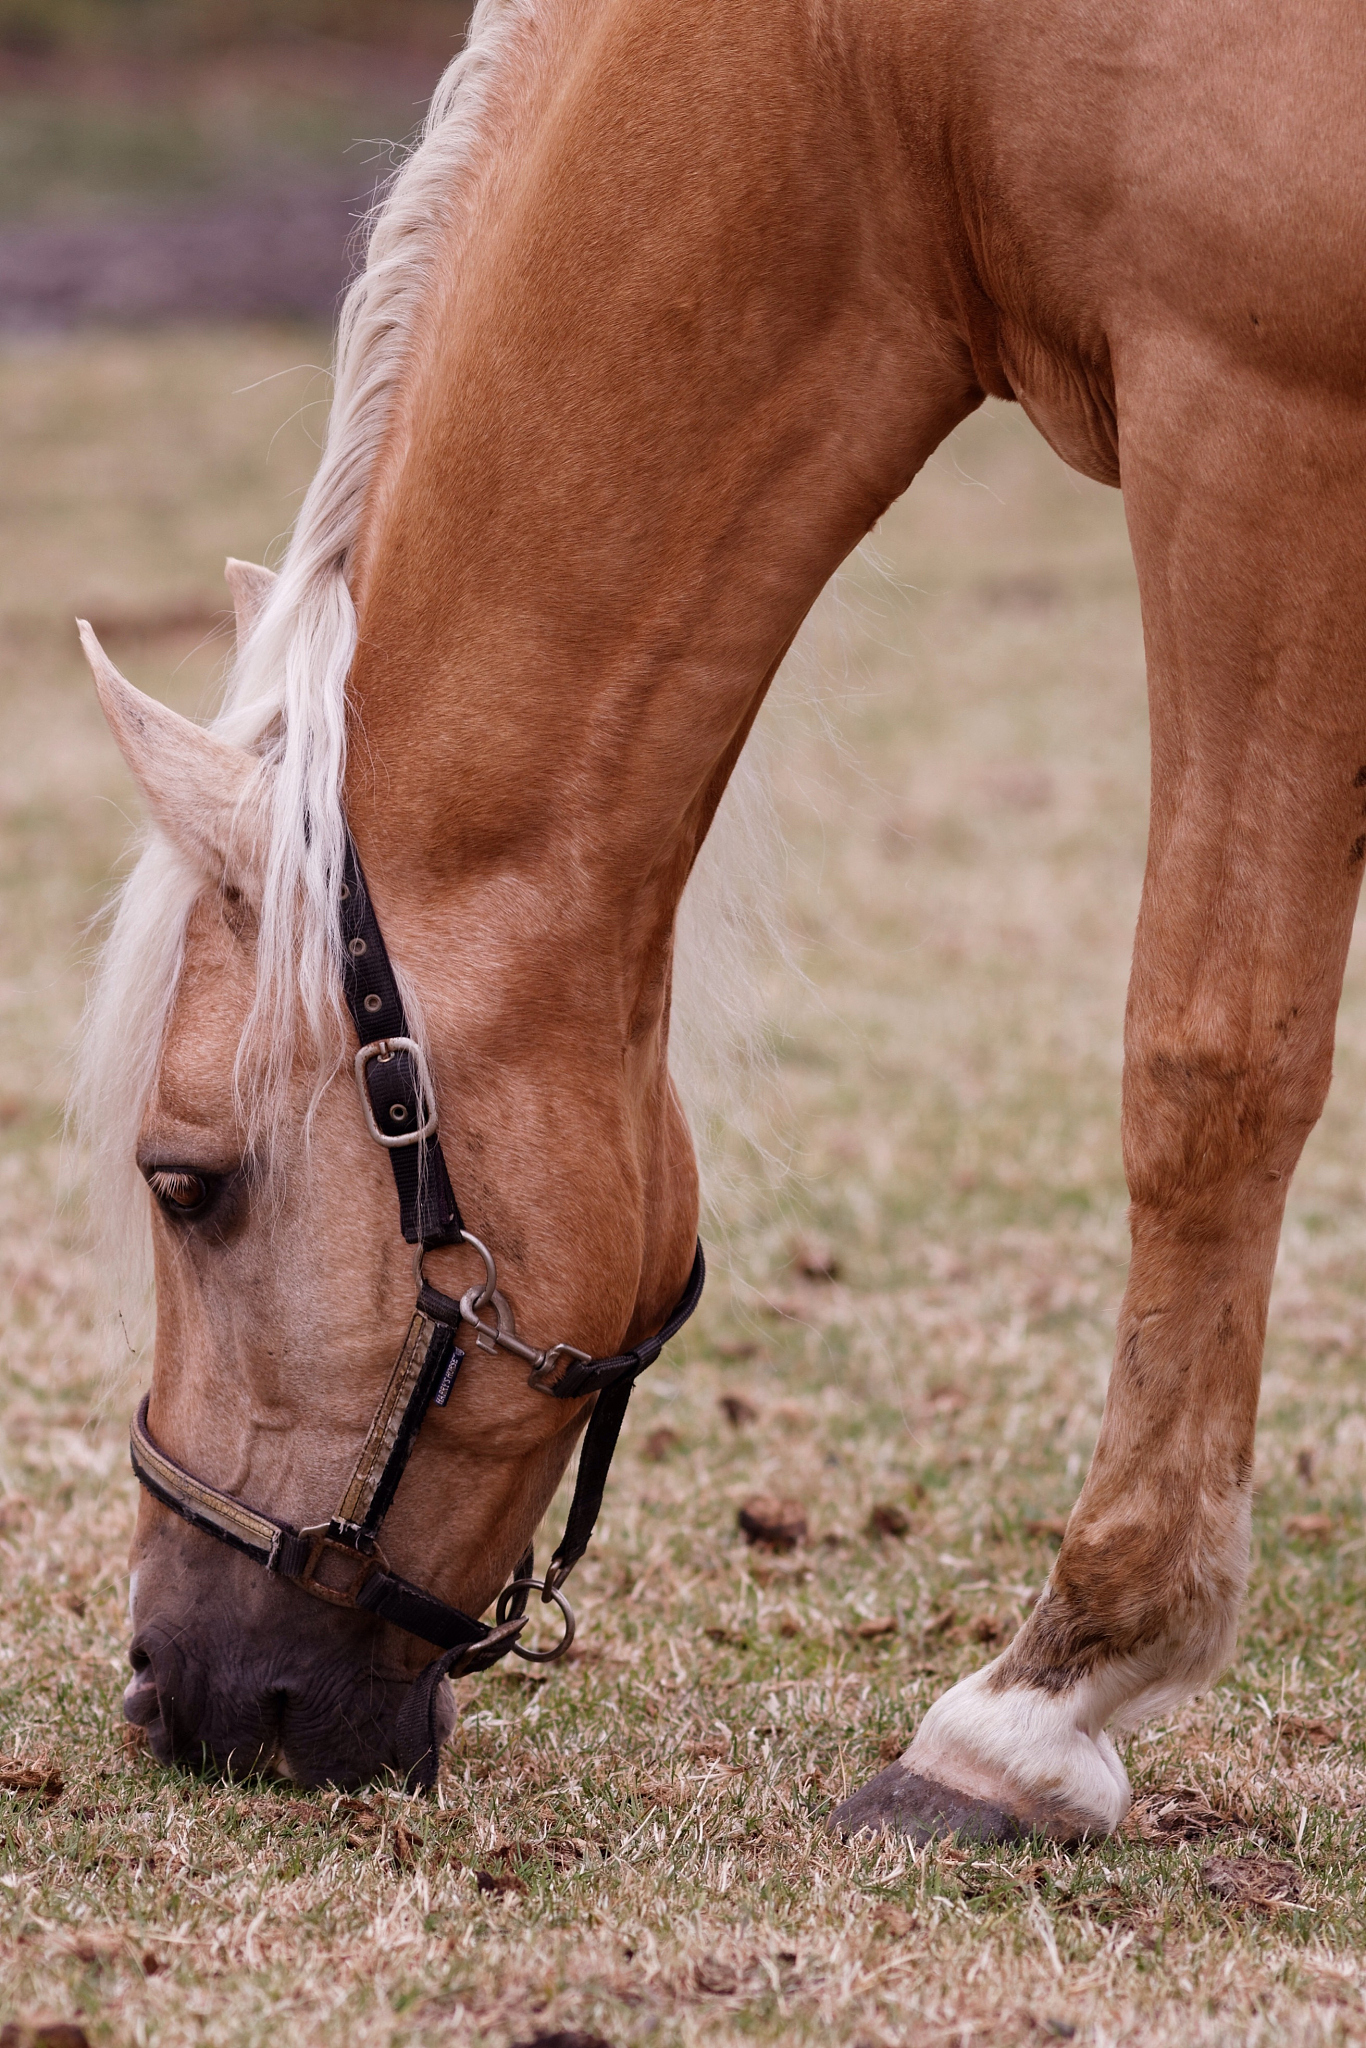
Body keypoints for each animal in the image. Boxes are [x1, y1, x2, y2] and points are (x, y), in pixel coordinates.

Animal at [75, 0, 1366, 1838]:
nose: (162, 1693)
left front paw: (1045, 1697)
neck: (891, 71)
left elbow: (1209, 1062)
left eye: (184, 1180)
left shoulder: (1259, 428)